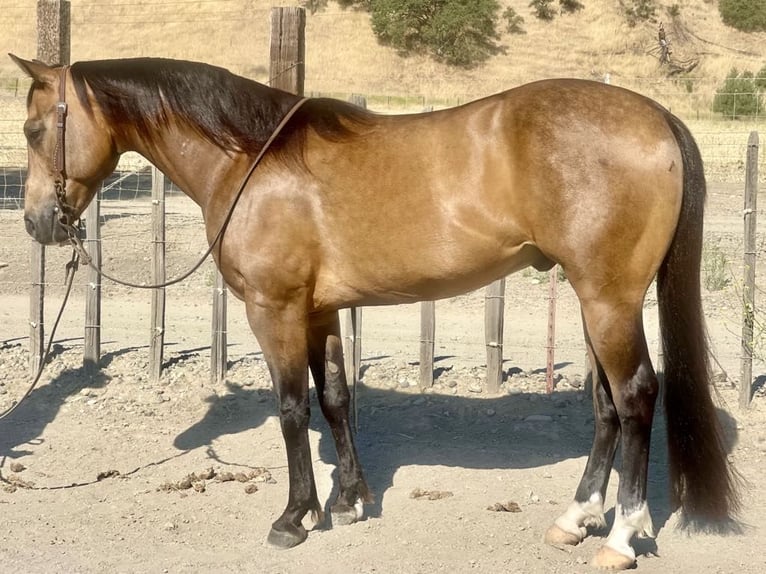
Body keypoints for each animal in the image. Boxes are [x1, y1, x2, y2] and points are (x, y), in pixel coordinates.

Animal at [10, 55, 744, 572]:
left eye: (34, 128)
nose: (38, 222)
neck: (252, 160)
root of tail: (654, 116)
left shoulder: (274, 311)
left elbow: (292, 408)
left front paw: (295, 517)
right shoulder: (319, 313)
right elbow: (335, 399)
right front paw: (349, 499)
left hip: (609, 299)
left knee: (635, 397)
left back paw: (620, 536)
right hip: (594, 300)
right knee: (605, 406)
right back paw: (575, 518)